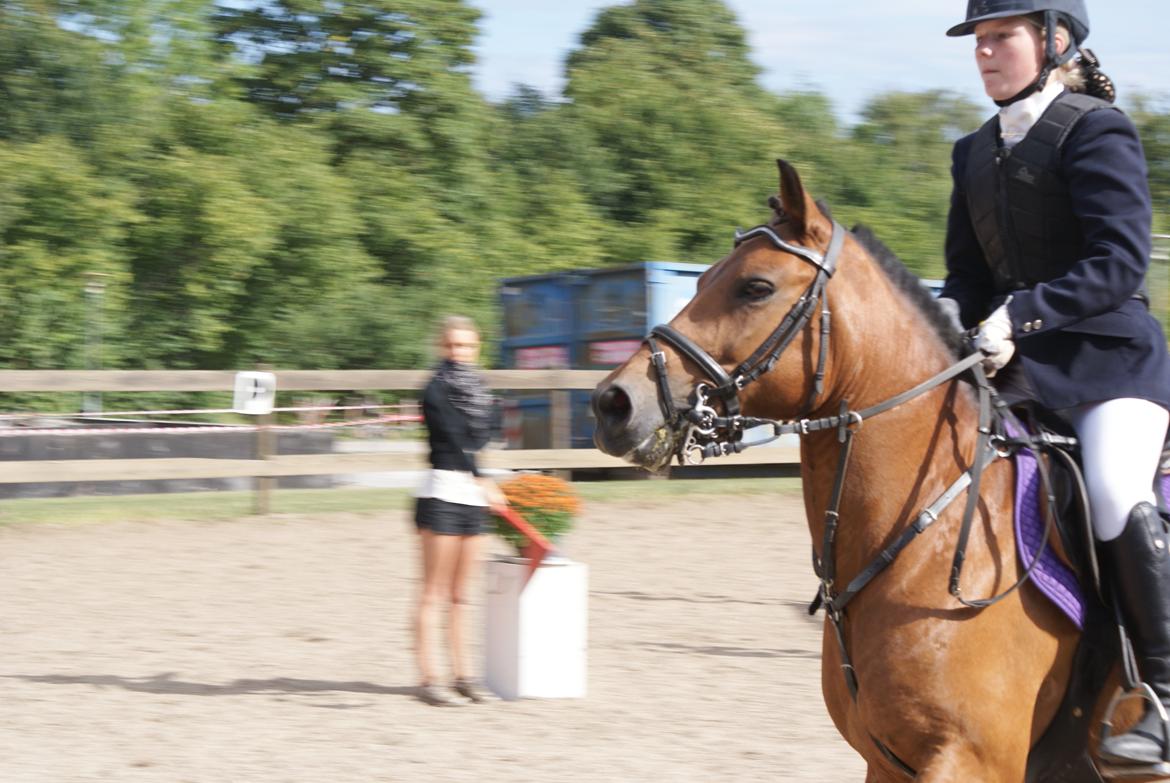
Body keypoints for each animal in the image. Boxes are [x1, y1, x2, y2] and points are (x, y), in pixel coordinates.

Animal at [589, 160, 1146, 781]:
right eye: (703, 277)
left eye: (756, 287)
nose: (613, 403)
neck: (929, 535)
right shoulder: (886, 762)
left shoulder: (970, 761)